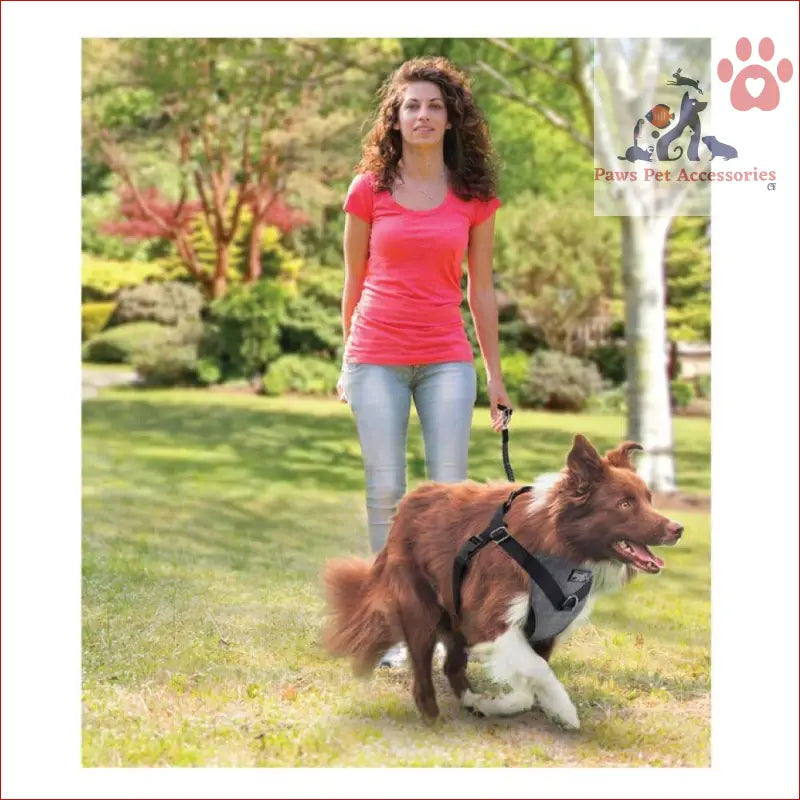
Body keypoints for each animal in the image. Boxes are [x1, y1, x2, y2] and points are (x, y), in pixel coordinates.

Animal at [322, 434, 684, 728]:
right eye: (624, 504)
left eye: (649, 499)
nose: (678, 528)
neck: (559, 545)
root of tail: (406, 505)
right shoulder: (490, 621)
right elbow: (538, 672)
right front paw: (564, 710)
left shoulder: (543, 630)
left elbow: (530, 680)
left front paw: (499, 705)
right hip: (421, 607)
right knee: (423, 667)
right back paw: (431, 715)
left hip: (456, 613)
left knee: (452, 667)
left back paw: (470, 700)